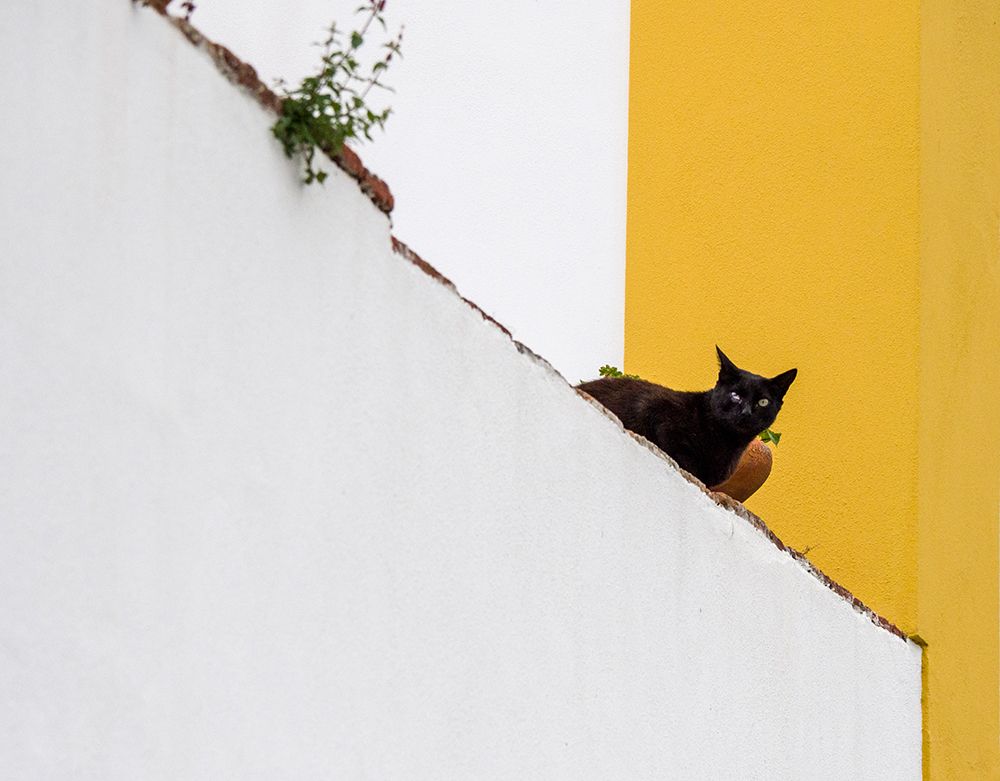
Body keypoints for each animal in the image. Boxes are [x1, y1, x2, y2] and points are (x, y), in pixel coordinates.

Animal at [580, 348, 796, 488]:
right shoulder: (655, 409)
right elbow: (683, 455)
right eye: (735, 395)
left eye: (763, 402)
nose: (746, 412)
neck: (727, 443)